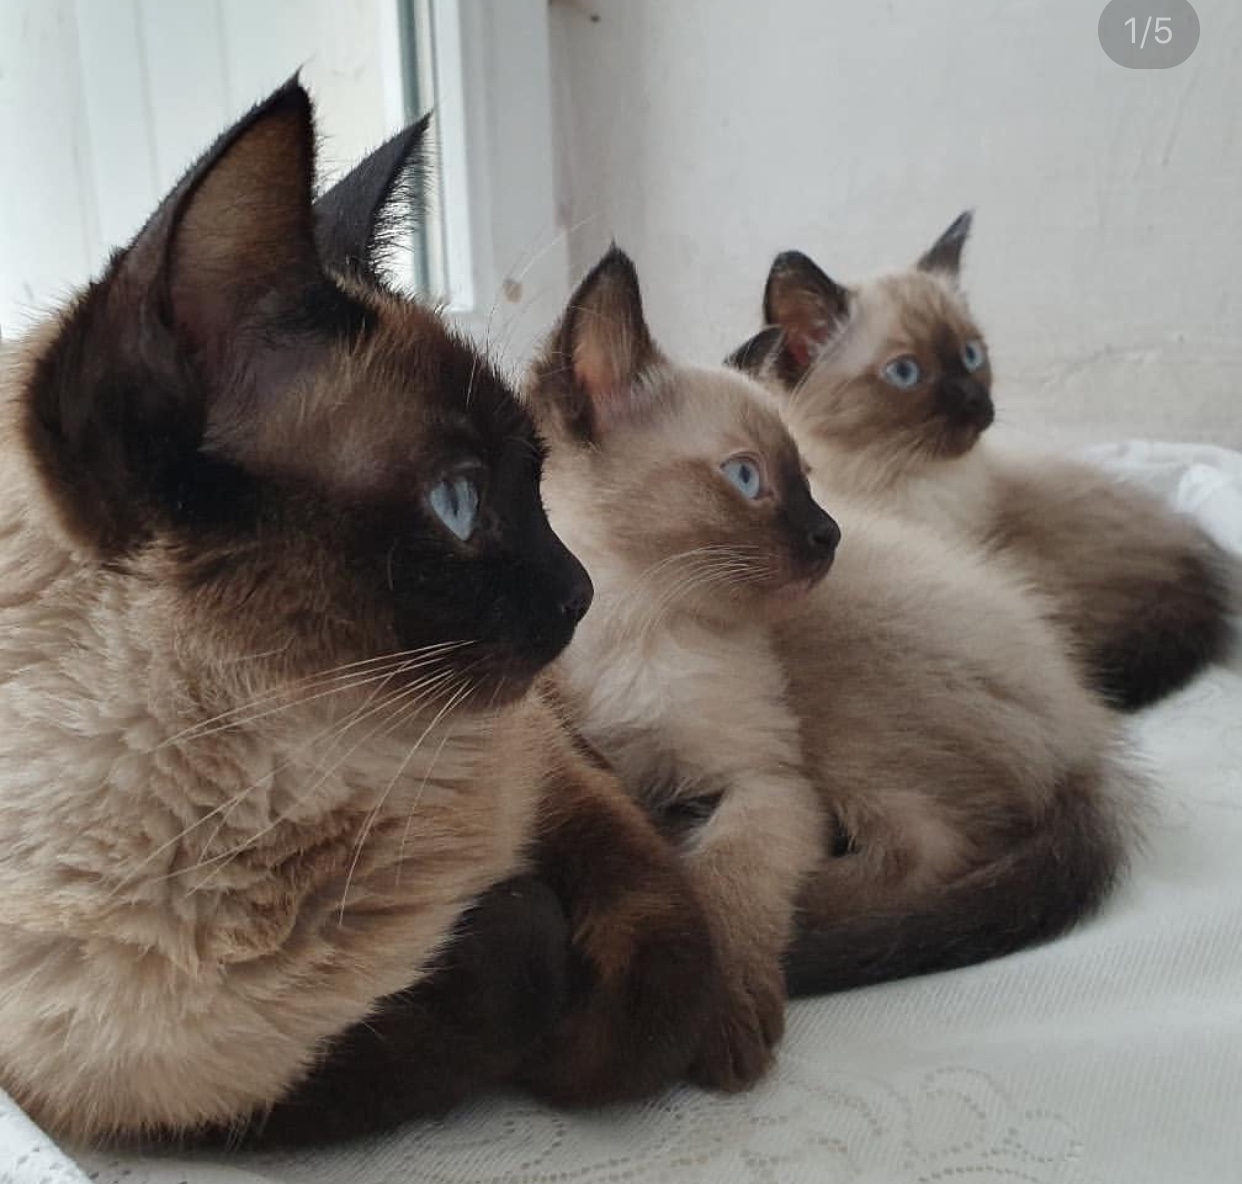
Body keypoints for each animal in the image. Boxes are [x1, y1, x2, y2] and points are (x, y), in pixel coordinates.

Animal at [0, 80, 725, 1147]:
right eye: (459, 503)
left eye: (537, 481)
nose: (580, 591)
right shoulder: (198, 1100)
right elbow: (496, 972)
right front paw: (525, 965)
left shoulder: (556, 779)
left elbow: (655, 966)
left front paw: (588, 1040)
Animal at [534, 249, 1137, 1088]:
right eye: (747, 479)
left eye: (809, 478)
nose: (830, 536)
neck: (633, 622)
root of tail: (1091, 733)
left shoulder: (770, 781)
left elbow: (730, 876)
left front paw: (723, 1005)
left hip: (838, 705)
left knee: (925, 855)